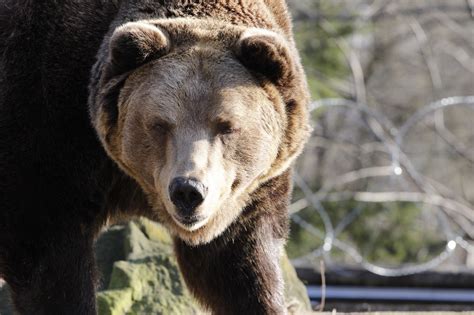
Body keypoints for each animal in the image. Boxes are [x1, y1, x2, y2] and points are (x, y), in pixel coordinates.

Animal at [0, 1, 312, 314]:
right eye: (160, 124)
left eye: (226, 125)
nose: (188, 190)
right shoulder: (49, 136)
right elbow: (50, 263)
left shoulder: (249, 193)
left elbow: (240, 266)